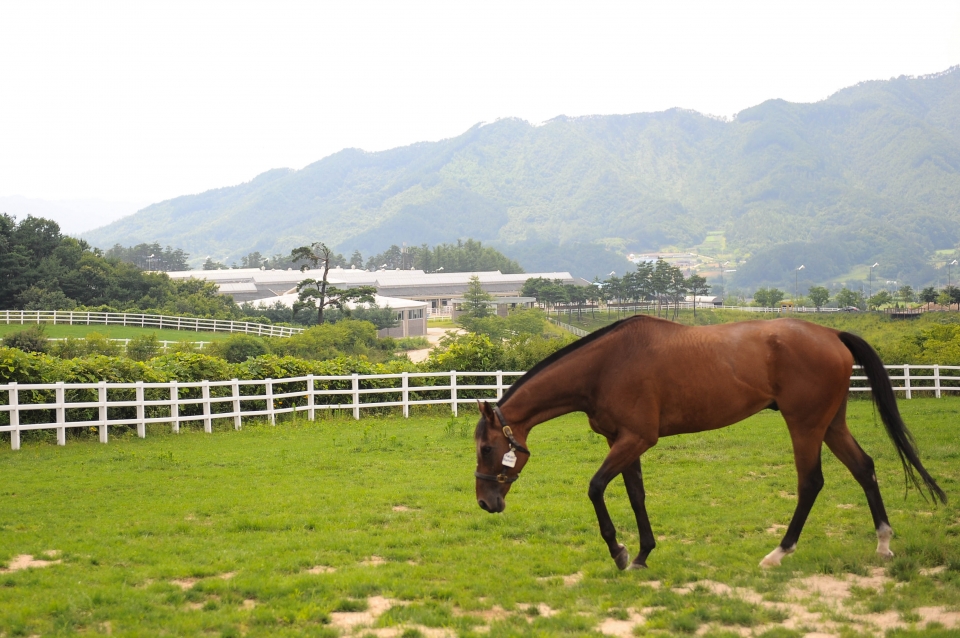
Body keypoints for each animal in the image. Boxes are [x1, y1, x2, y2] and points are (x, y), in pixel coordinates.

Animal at [472, 316, 944, 568]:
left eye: (486, 449)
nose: (484, 502)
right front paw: (642, 554)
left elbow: (596, 488)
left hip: (806, 425)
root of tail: (830, 332)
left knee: (811, 483)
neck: (606, 366)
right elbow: (636, 494)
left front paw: (620, 551)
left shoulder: (635, 439)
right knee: (864, 467)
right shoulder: (623, 441)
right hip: (831, 424)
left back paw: (779, 552)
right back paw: (883, 542)